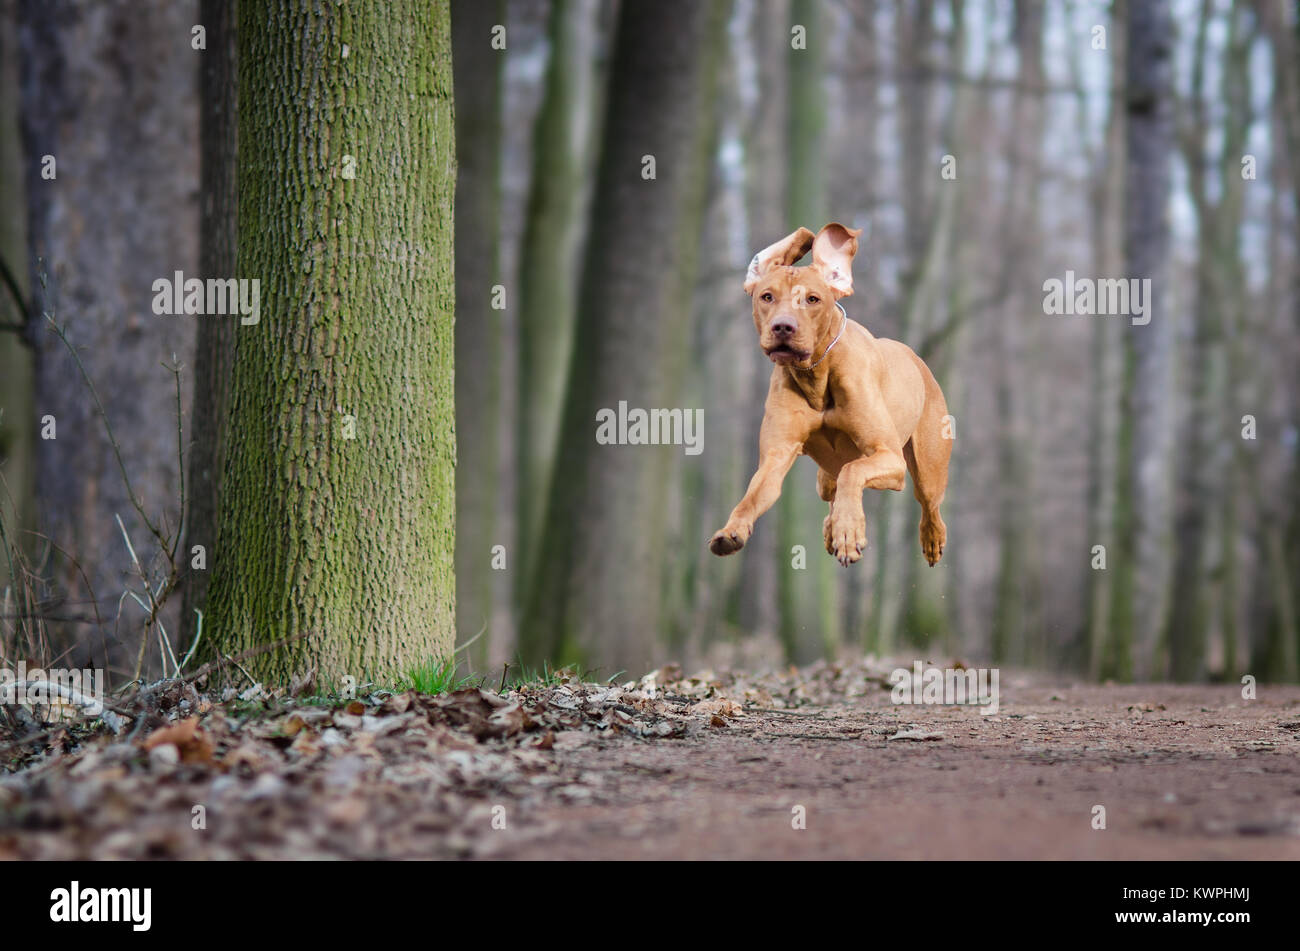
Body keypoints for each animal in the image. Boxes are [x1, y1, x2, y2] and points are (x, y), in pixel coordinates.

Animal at [707, 224, 951, 563]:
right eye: (767, 296)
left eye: (813, 299)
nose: (783, 327)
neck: (816, 375)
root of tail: (917, 359)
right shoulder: (775, 457)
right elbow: (753, 496)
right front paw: (732, 530)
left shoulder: (888, 456)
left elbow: (853, 469)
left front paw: (849, 532)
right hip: (825, 478)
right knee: (831, 490)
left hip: (929, 468)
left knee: (929, 504)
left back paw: (931, 537)